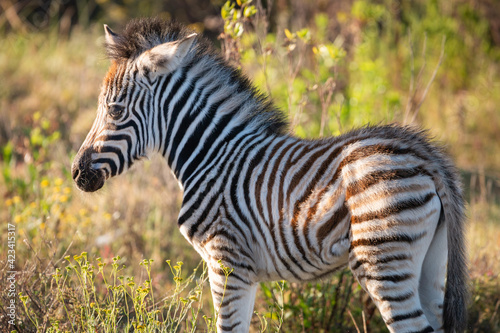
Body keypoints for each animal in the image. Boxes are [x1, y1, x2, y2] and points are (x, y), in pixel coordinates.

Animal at [71, 18, 468, 332]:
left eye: (115, 110)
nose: (76, 173)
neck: (213, 154)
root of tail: (423, 153)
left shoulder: (227, 261)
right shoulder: (240, 269)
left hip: (382, 256)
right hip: (431, 261)